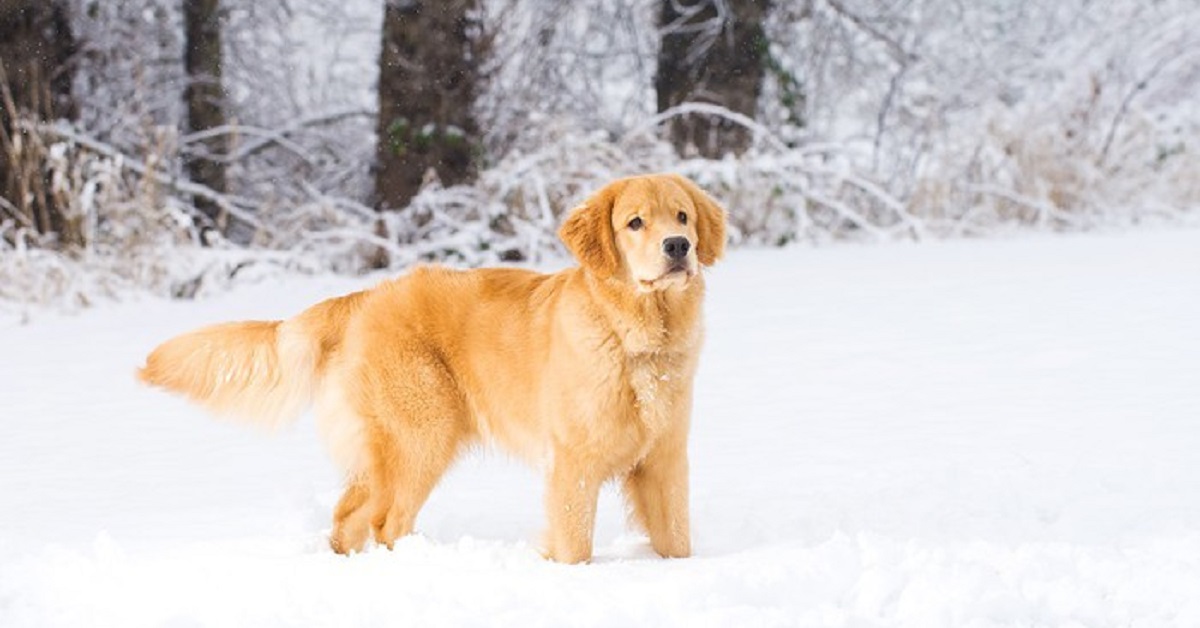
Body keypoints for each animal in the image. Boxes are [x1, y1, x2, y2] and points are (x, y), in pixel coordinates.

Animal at [137, 172, 724, 564]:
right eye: (634, 223)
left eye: (683, 216)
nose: (679, 246)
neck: (636, 338)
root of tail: (365, 298)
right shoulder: (573, 464)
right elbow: (575, 543)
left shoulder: (665, 460)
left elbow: (677, 540)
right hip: (424, 434)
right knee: (386, 521)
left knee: (349, 515)